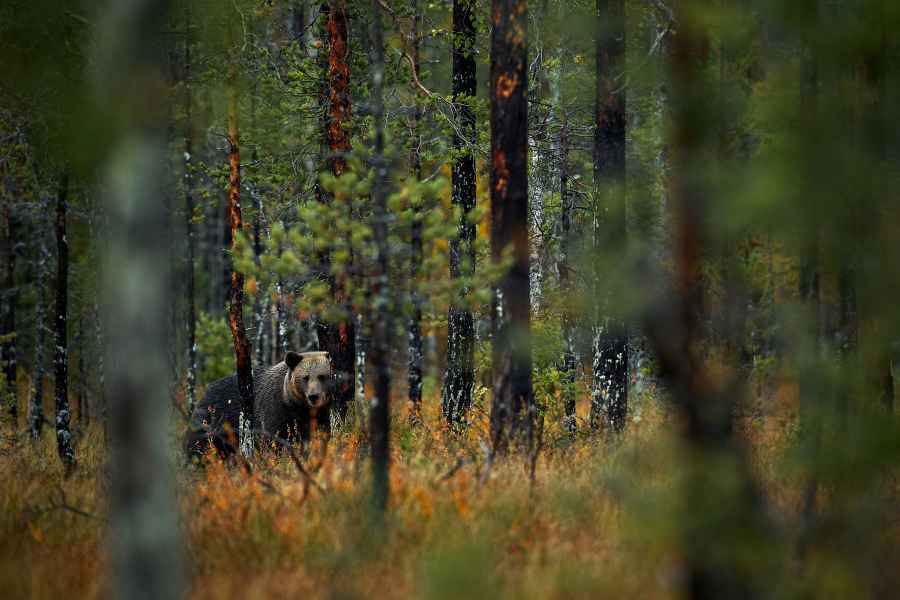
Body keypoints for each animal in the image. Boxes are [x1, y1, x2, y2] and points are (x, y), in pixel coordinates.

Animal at [184, 350, 333, 460]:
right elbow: (275, 441)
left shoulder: (320, 415)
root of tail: (205, 392)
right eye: (305, 377)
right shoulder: (277, 411)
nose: (314, 396)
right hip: (212, 421)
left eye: (322, 376)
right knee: (198, 447)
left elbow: (321, 434)